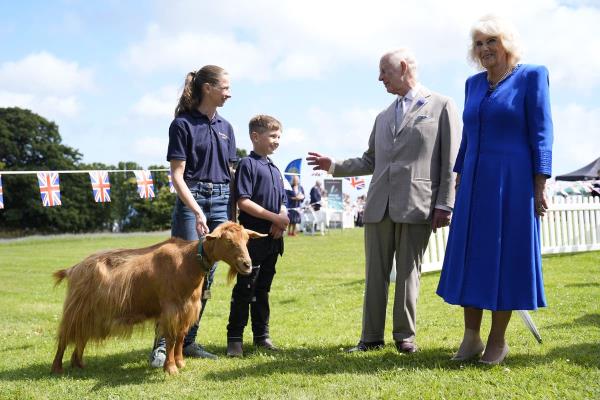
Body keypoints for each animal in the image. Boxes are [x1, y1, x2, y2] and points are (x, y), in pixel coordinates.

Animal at [50, 222, 266, 376]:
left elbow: (181, 337)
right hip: (76, 308)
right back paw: (57, 368)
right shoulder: (170, 309)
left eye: (247, 240)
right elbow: (170, 339)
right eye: (228, 240)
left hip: (91, 312)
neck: (188, 262)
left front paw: (180, 362)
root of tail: (74, 268)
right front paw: (171, 368)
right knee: (65, 336)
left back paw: (78, 363)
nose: (247, 265)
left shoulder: (187, 309)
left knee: (81, 335)